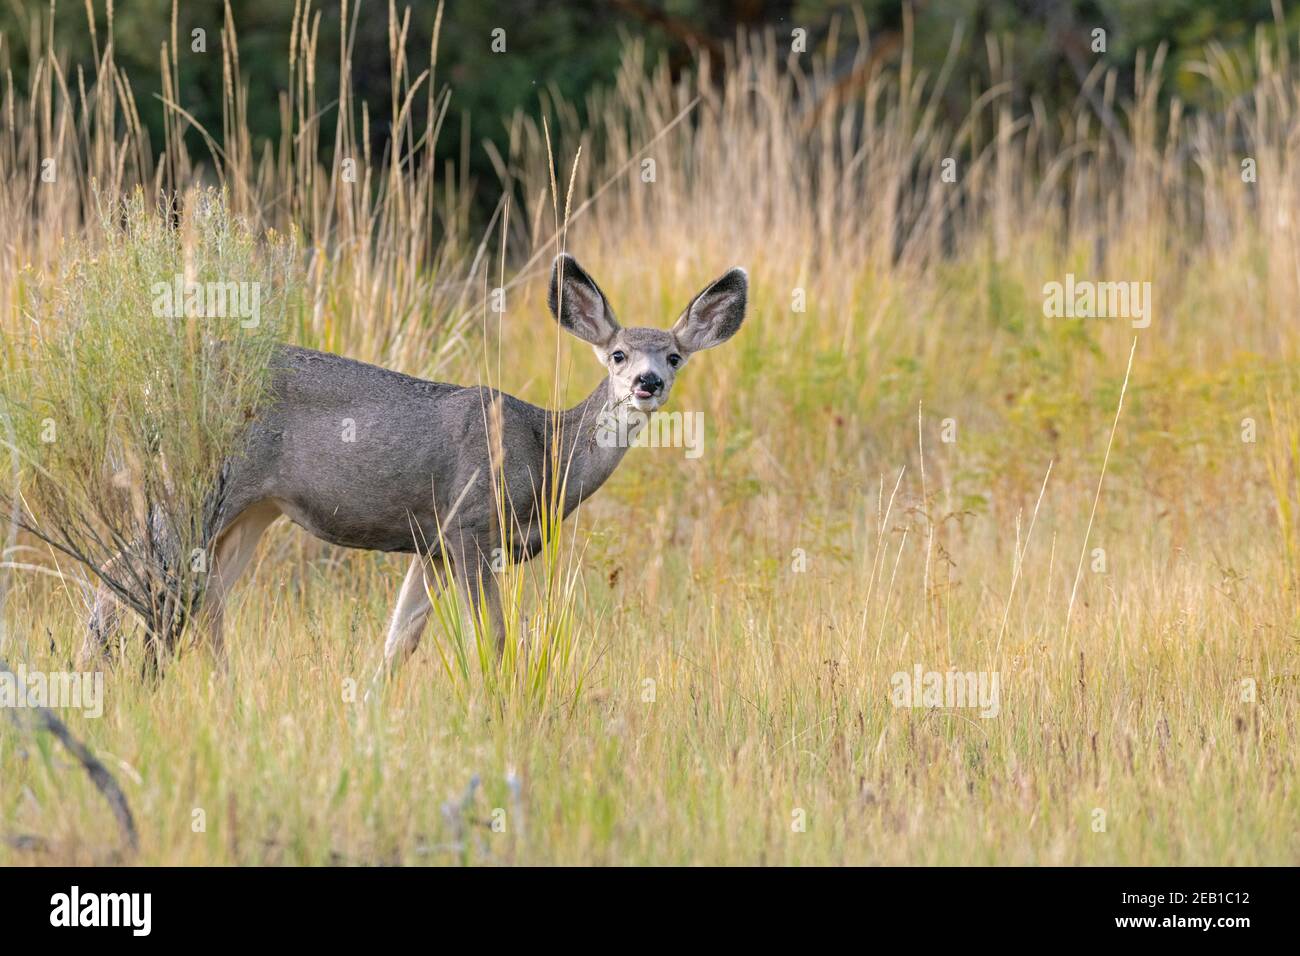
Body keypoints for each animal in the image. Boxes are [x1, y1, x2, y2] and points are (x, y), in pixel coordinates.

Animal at [81, 255, 748, 674]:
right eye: (617, 354)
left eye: (674, 355)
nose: (646, 383)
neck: (546, 451)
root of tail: (149, 386)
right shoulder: (470, 524)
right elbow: (494, 637)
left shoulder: (431, 544)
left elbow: (398, 641)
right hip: (196, 487)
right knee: (122, 577)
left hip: (253, 512)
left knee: (202, 596)